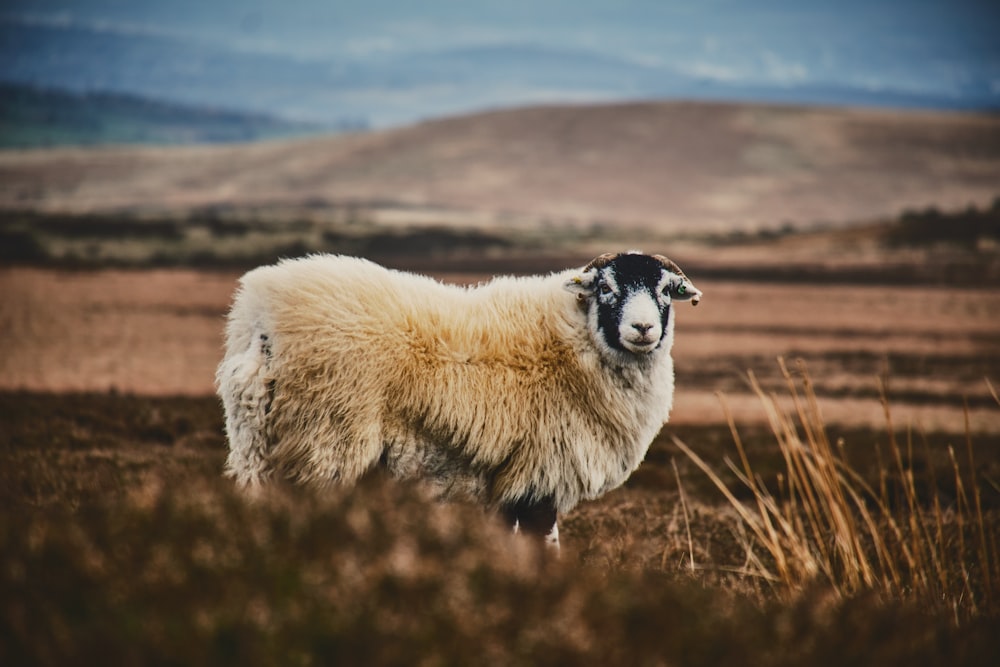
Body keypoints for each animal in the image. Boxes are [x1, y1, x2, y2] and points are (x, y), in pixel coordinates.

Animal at [219, 250, 704, 548]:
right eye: (606, 288)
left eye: (665, 291)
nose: (643, 329)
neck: (577, 343)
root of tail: (262, 323)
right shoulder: (540, 473)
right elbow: (543, 549)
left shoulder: (506, 480)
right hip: (322, 441)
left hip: (257, 445)